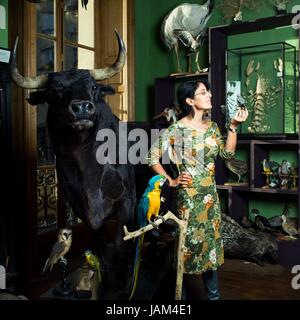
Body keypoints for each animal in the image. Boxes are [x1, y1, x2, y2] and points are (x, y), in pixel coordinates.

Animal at [10, 31, 135, 288]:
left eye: (93, 87)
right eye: (55, 90)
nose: (82, 109)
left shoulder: (127, 198)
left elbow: (122, 241)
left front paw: (124, 277)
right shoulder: (79, 207)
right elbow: (98, 240)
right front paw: (104, 268)